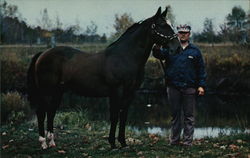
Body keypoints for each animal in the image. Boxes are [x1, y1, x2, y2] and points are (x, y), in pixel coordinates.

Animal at [27, 6, 181, 149]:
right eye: (163, 25)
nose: (178, 48)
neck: (125, 57)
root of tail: (43, 54)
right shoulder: (116, 91)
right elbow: (114, 116)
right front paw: (112, 144)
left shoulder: (130, 93)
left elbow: (123, 117)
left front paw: (123, 143)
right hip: (46, 91)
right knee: (41, 112)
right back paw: (43, 143)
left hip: (58, 92)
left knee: (51, 112)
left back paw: (52, 142)